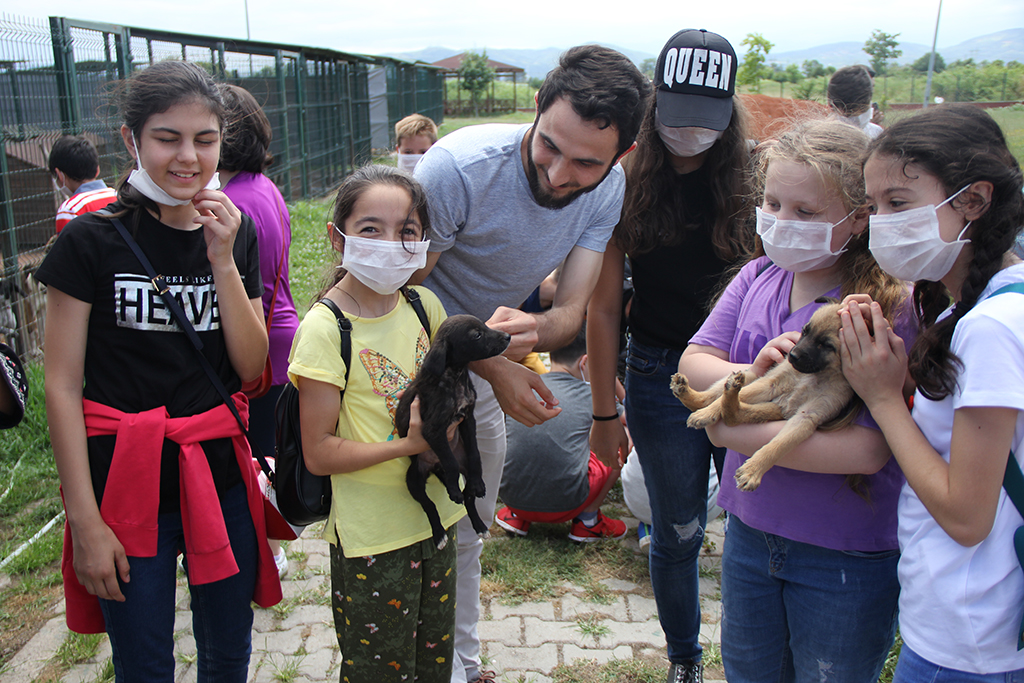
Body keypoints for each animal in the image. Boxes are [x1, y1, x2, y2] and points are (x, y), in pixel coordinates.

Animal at [393, 315, 509, 548]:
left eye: (484, 326)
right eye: (477, 335)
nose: (508, 336)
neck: (455, 377)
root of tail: (435, 467)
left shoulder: (468, 419)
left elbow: (474, 453)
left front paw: (476, 481)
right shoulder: (433, 430)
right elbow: (451, 464)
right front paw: (453, 490)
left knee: (469, 497)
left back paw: (480, 524)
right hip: (413, 478)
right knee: (428, 504)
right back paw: (439, 534)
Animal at [671, 301, 864, 491]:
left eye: (828, 345)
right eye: (805, 331)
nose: (792, 356)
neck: (815, 375)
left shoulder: (808, 416)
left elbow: (779, 445)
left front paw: (753, 470)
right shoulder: (770, 383)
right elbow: (720, 401)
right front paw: (706, 413)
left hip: (772, 408)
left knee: (734, 415)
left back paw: (730, 396)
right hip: (751, 376)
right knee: (711, 397)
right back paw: (690, 393)